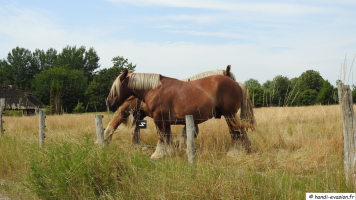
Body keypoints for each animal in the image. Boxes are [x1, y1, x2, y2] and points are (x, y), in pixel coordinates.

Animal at [106, 68, 256, 159]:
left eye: (116, 87)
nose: (109, 103)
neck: (154, 89)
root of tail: (237, 84)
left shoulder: (159, 120)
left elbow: (162, 137)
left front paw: (158, 155)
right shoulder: (165, 121)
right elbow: (168, 137)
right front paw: (170, 153)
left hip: (229, 115)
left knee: (236, 133)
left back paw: (234, 153)